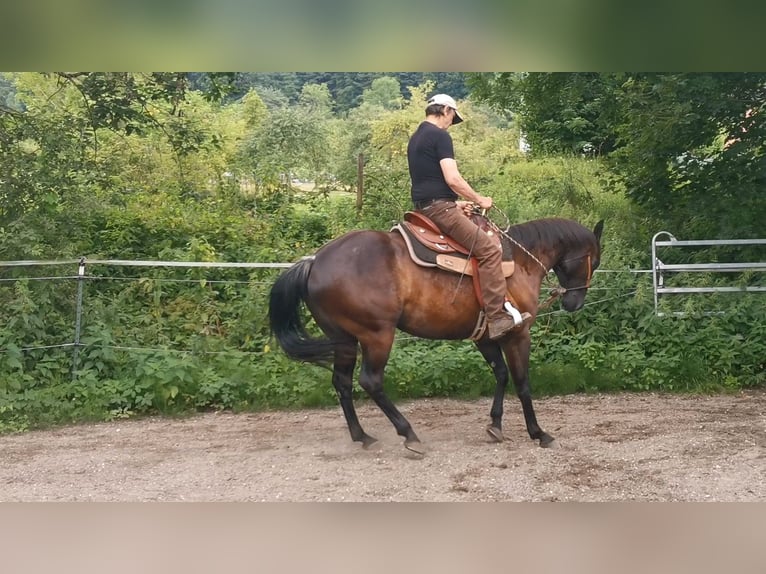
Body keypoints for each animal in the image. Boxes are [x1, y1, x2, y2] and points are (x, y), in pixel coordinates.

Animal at [270, 214, 608, 456]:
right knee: (370, 381)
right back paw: (409, 434)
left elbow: (500, 375)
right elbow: (523, 383)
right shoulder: (517, 335)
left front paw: (495, 425)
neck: (520, 261)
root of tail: (314, 262)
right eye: (595, 259)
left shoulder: (484, 337)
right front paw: (538, 433)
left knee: (342, 383)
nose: (574, 302)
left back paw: (362, 436)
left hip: (344, 339)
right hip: (377, 336)